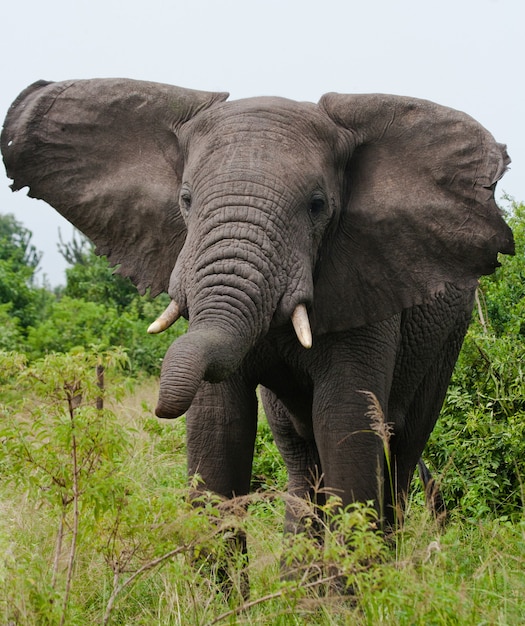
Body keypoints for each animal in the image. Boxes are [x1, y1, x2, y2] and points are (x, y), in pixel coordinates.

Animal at [2, 78, 512, 544]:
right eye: (185, 200)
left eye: (317, 205)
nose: (158, 408)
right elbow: (218, 429)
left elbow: (346, 425)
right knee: (301, 458)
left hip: (447, 340)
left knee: (400, 453)